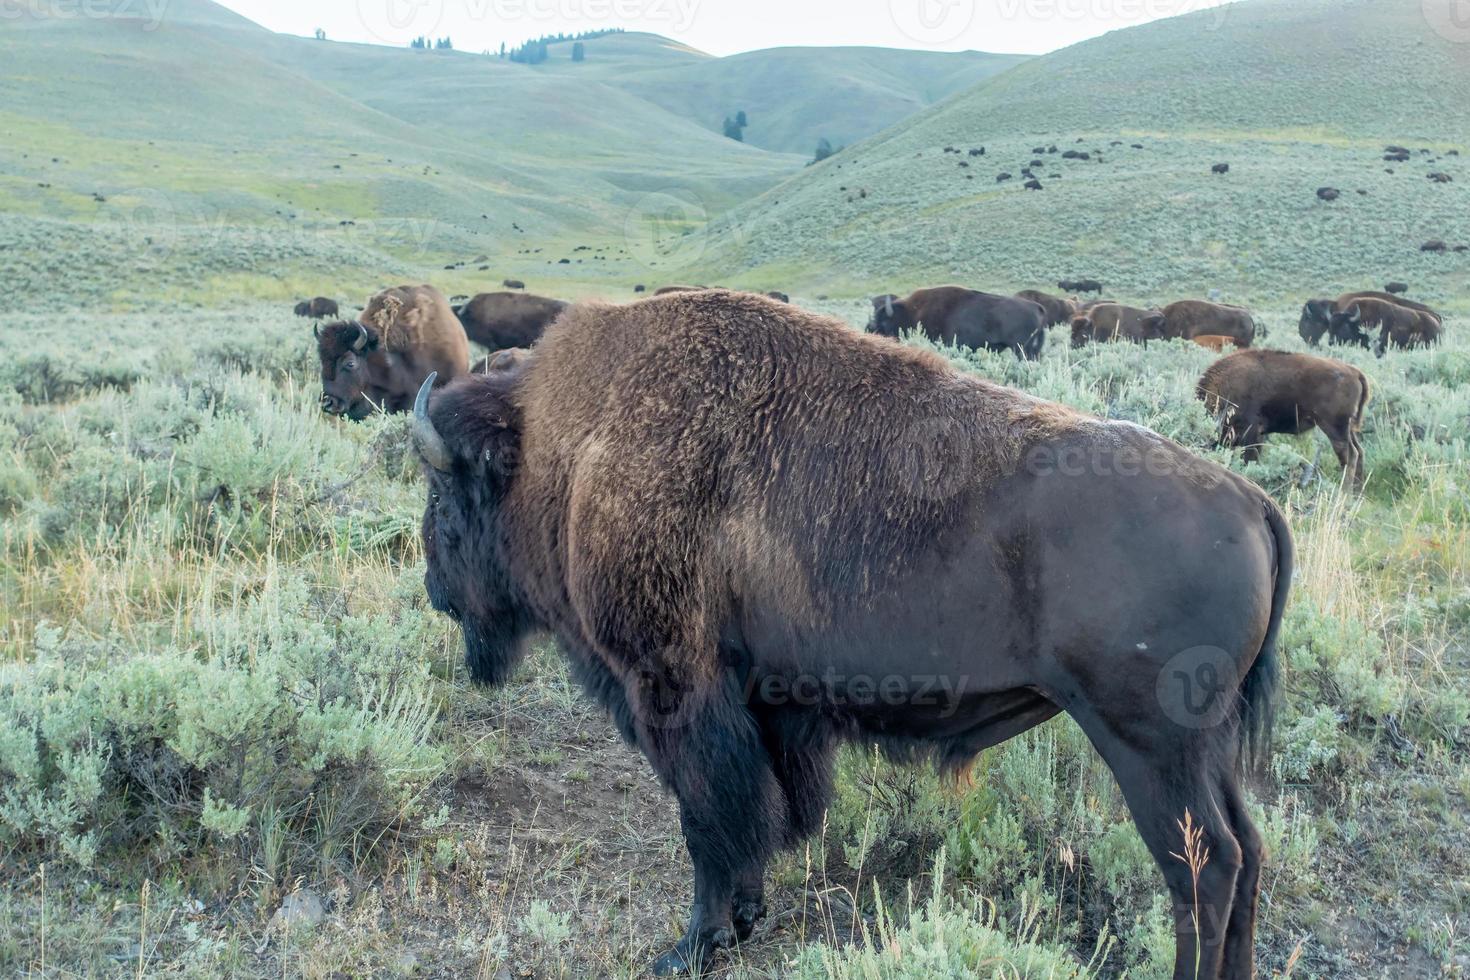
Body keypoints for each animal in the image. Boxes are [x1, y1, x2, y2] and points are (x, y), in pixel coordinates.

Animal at [1199, 351, 1370, 490]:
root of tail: (1353, 371)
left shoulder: (1252, 431)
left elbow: (1249, 456)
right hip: (1348, 429)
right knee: (1359, 452)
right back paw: (1357, 493)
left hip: (1334, 427)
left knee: (1350, 455)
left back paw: (1344, 492)